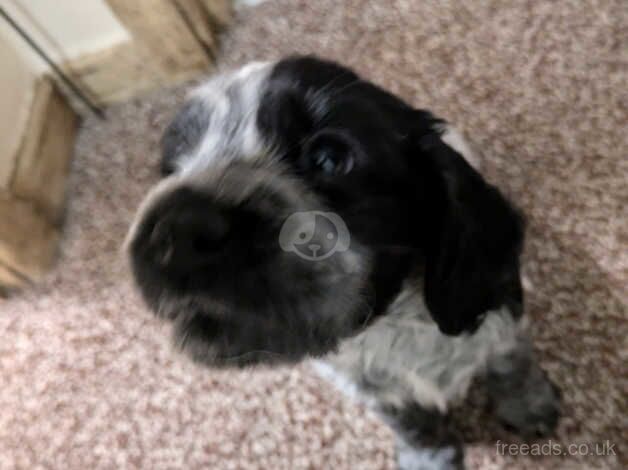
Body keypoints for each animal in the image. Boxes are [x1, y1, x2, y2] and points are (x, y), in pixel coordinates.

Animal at [126, 56, 560, 470]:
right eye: (170, 170)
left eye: (329, 159)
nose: (174, 229)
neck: (389, 323)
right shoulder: (375, 391)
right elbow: (413, 425)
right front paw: (429, 460)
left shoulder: (503, 312)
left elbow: (511, 364)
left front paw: (531, 406)